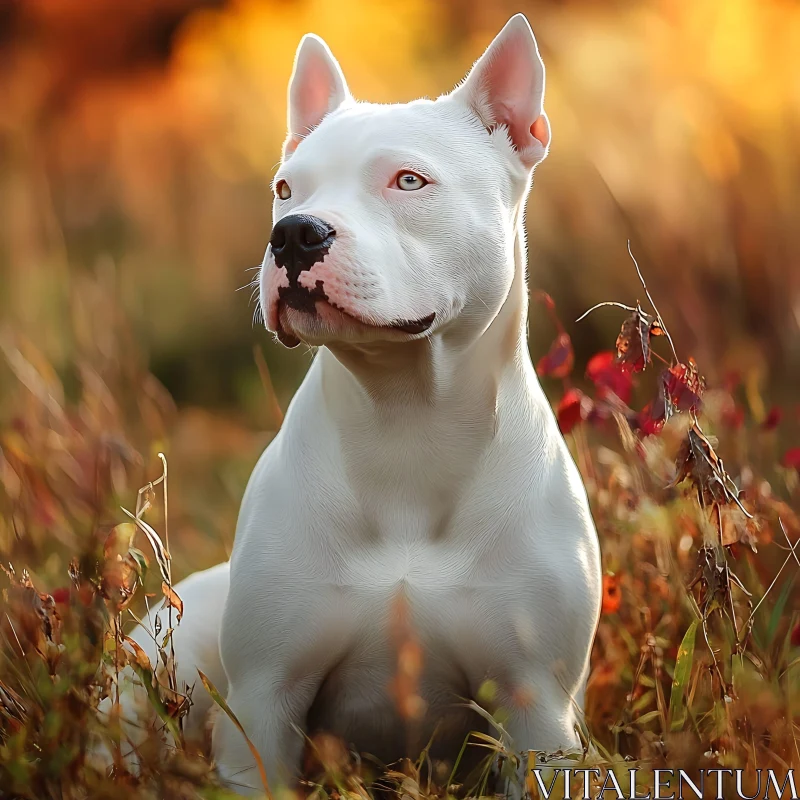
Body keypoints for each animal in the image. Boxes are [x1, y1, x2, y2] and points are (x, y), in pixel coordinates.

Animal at [114, 15, 600, 796]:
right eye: (285, 188)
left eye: (409, 181)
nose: (294, 233)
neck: (403, 416)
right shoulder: (266, 700)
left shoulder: (537, 708)